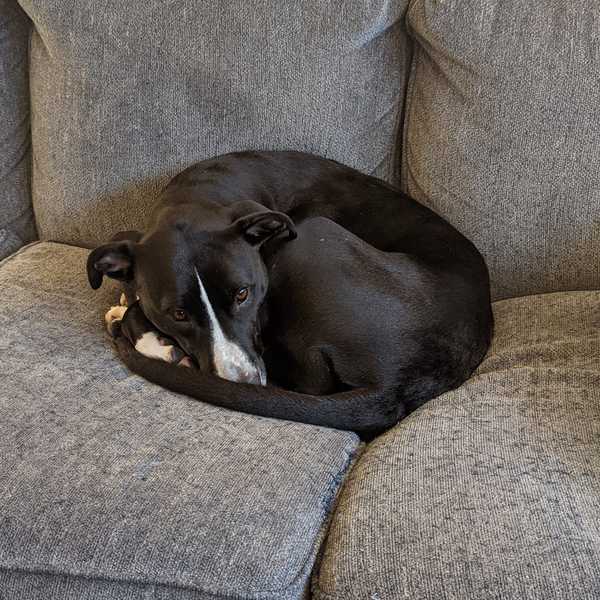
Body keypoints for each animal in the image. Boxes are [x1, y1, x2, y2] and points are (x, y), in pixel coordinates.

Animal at [89, 152, 492, 438]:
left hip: (309, 239)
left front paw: (142, 330)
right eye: (178, 314)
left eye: (243, 294)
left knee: (308, 381)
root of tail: (396, 384)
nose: (244, 383)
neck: (199, 193)